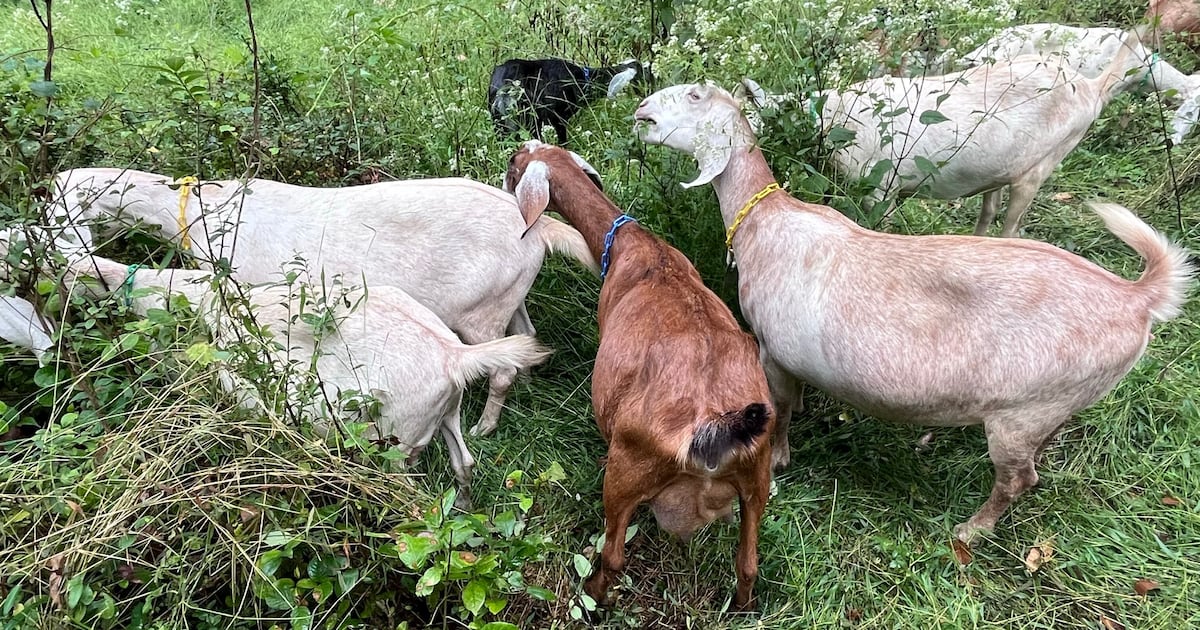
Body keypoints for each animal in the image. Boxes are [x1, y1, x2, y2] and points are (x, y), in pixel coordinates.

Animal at [48, 168, 597, 437]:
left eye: (59, 204)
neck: (208, 210)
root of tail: (538, 226)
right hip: (506, 296)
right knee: (525, 335)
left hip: (476, 314)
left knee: (499, 368)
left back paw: (485, 426)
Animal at [66, 253, 551, 507]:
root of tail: (454, 356)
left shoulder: (244, 398)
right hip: (445, 414)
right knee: (464, 464)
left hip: (398, 440)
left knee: (408, 487)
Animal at [504, 140, 773, 609]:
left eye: (516, 165)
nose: (505, 166)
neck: (636, 246)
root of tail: (713, 430)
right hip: (757, 478)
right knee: (748, 565)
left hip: (628, 471)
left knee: (613, 554)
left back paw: (592, 597)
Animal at [634, 82, 1194, 543]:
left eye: (695, 96)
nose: (641, 110)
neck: (768, 223)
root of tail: (1136, 298)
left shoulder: (773, 350)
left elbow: (783, 410)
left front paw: (780, 459)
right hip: (1058, 403)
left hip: (1021, 414)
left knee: (1018, 478)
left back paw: (972, 531)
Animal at [738, 29, 1140, 237]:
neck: (831, 121)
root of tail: (1091, 88)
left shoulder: (882, 187)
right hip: (999, 171)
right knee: (989, 209)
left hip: (1042, 165)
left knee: (1012, 223)